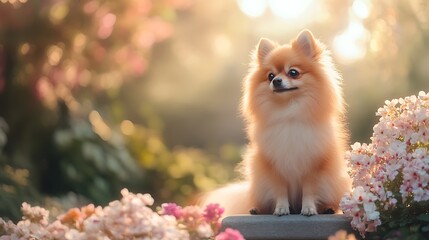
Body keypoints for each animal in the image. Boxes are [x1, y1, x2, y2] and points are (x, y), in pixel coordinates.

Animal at [202, 29, 350, 216]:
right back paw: (256, 209)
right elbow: (280, 191)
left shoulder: (312, 165)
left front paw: (309, 208)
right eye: (270, 76)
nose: (276, 81)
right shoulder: (274, 167)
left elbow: (310, 190)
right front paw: (281, 208)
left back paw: (328, 208)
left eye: (293, 72)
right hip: (259, 183)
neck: (288, 114)